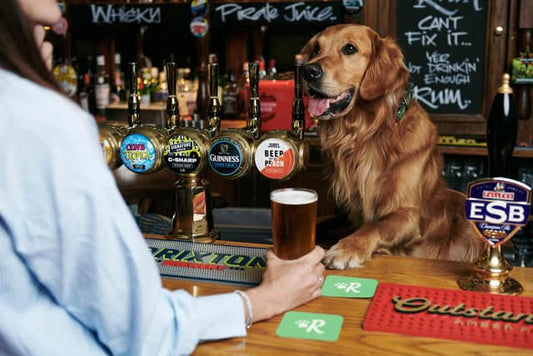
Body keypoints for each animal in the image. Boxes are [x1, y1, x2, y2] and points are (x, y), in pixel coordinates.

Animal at [302, 24, 484, 270]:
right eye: (316, 48)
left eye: (349, 48)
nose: (307, 71)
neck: (366, 134)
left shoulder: (408, 214)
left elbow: (375, 225)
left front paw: (348, 247)